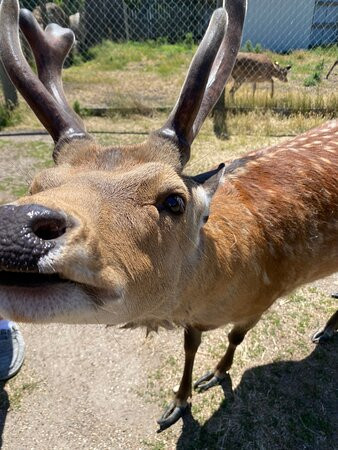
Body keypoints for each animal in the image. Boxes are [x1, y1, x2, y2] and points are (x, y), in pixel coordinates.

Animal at [0, 0, 336, 434]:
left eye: (174, 200)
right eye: (37, 182)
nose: (14, 227)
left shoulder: (264, 298)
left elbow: (235, 339)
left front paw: (218, 373)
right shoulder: (195, 319)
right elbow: (189, 346)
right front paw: (178, 402)